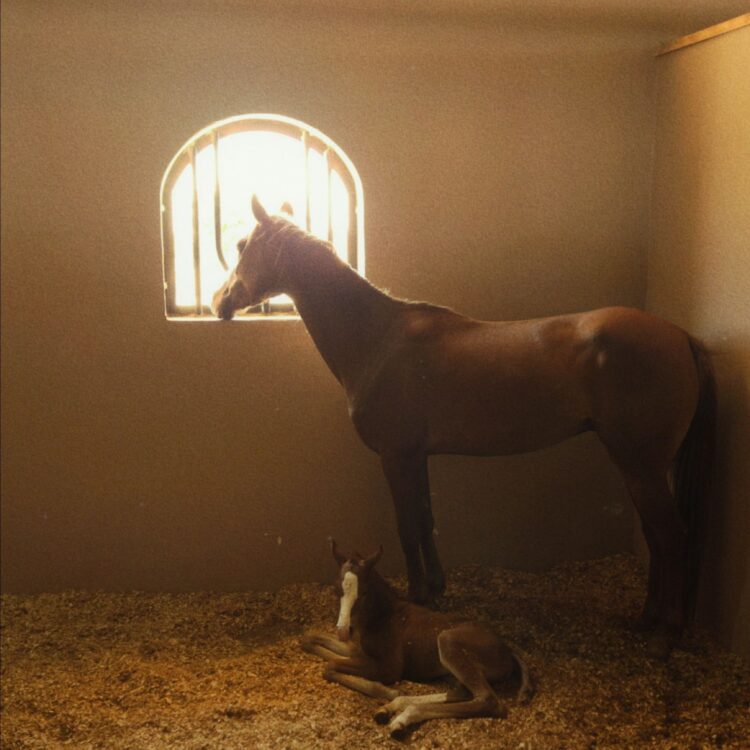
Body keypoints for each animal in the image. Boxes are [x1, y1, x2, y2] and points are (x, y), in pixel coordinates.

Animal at [213, 195, 716, 656]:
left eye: (242, 244)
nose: (220, 302)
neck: (377, 338)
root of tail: (680, 336)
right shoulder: (417, 457)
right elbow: (425, 518)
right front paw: (436, 588)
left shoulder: (396, 457)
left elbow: (406, 525)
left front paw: (418, 594)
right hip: (641, 469)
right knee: (656, 537)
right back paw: (646, 620)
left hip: (640, 467)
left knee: (672, 537)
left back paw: (666, 633)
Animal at [302, 540, 533, 738]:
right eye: (336, 589)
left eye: (365, 592)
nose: (343, 630)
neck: (382, 616)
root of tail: (508, 651)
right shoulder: (357, 650)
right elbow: (311, 639)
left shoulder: (388, 667)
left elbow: (331, 665)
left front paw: (385, 690)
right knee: (461, 692)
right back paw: (392, 708)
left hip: (447, 641)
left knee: (487, 700)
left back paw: (402, 716)